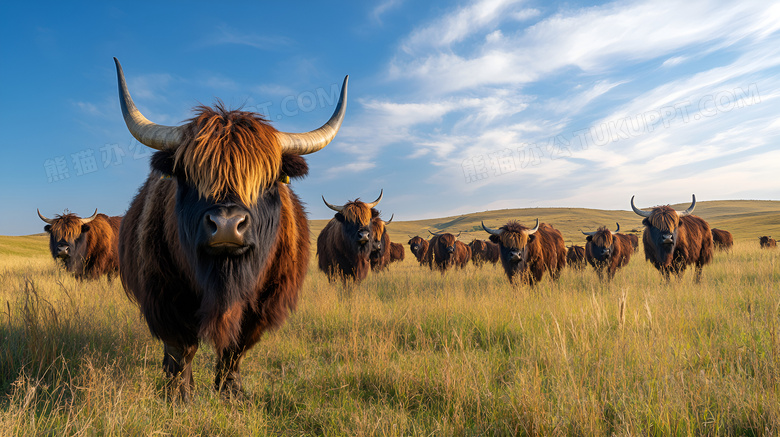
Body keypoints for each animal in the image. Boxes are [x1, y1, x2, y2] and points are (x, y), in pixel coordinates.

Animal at [114, 58, 348, 398]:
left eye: (267, 180)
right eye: (189, 176)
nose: (226, 225)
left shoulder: (262, 305)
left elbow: (235, 348)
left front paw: (230, 391)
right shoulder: (163, 298)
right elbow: (181, 348)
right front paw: (179, 394)